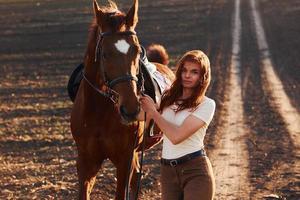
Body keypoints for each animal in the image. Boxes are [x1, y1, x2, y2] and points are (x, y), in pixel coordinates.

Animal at [70, 0, 173, 199]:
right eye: (104, 53)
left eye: (136, 51)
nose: (131, 109)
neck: (99, 111)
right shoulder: (86, 162)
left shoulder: (125, 159)